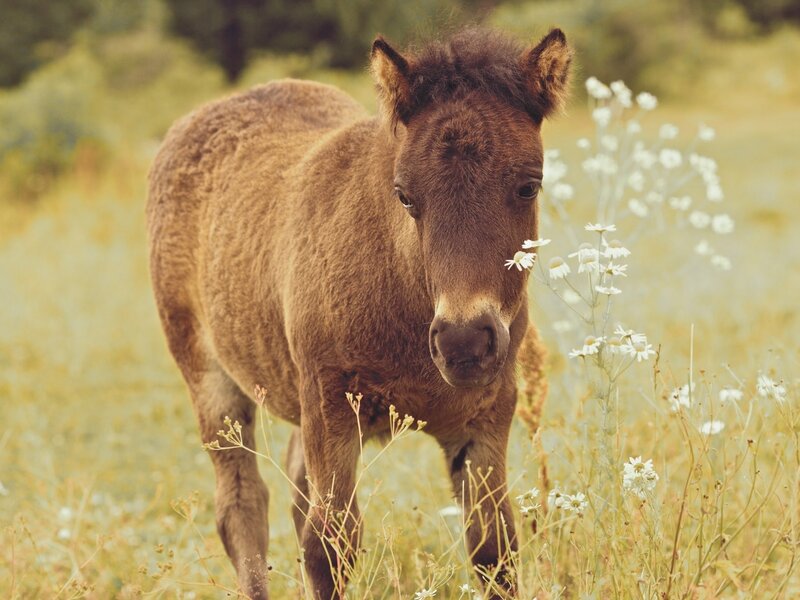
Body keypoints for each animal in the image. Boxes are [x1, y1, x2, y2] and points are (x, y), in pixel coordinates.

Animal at [147, 27, 571, 599]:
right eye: (405, 196)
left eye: (529, 185)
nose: (463, 344)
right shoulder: (331, 405)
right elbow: (329, 545)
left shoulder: (485, 414)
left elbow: (494, 544)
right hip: (208, 375)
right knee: (243, 505)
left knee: (295, 491)